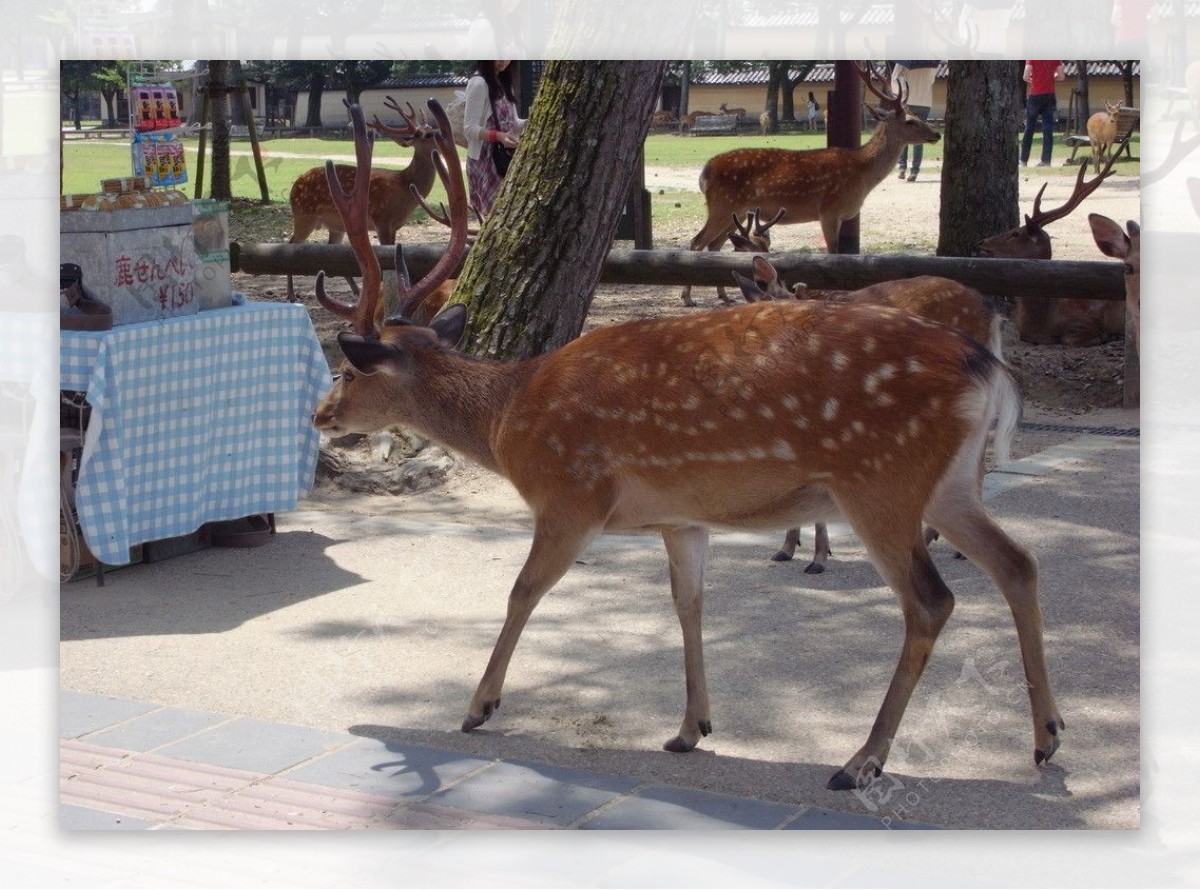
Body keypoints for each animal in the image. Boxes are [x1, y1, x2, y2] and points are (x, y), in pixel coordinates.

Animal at [284, 96, 441, 301]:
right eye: (428, 134)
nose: (445, 134)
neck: (403, 189)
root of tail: (294, 185)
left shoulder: (394, 226)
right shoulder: (382, 219)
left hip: (335, 225)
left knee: (331, 250)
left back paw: (357, 291)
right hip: (303, 215)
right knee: (290, 244)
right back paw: (291, 294)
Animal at [307, 101, 1060, 791]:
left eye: (348, 369)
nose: (320, 414)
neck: (508, 419)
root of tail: (985, 363)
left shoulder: (571, 495)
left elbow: (523, 589)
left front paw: (477, 706)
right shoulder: (679, 517)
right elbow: (688, 604)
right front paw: (691, 727)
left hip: (881, 482)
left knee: (931, 601)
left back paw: (862, 760)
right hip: (947, 484)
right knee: (1018, 562)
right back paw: (1047, 736)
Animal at [681, 60, 940, 309]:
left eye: (919, 116)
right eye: (910, 121)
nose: (936, 134)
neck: (861, 175)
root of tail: (704, 172)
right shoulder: (829, 210)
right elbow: (833, 254)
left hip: (738, 211)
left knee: (714, 245)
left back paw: (724, 296)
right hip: (722, 205)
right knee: (697, 242)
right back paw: (688, 298)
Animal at [974, 148, 1123, 347]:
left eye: (1015, 233)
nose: (982, 242)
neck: (1042, 322)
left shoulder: (1089, 319)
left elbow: (1070, 338)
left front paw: (1104, 336)